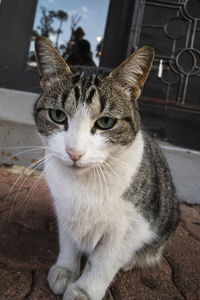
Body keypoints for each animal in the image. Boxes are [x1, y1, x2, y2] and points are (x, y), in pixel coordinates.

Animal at [33, 35, 180, 300]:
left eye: (105, 122)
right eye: (58, 116)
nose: (74, 152)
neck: (84, 182)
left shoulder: (131, 226)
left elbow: (104, 260)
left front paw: (84, 290)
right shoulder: (64, 208)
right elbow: (68, 241)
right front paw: (65, 270)